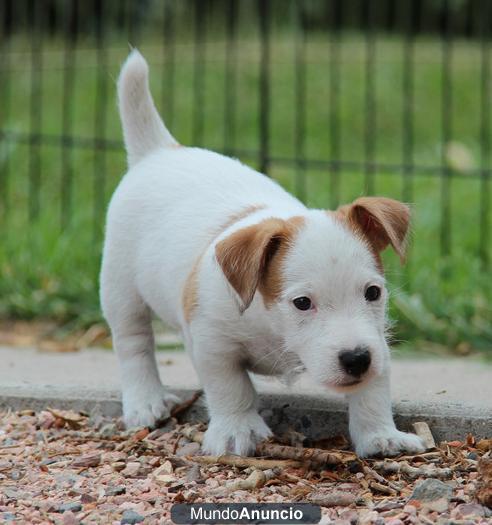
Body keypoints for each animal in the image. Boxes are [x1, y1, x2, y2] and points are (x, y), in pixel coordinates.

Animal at [100, 50, 422, 458]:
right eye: (302, 303)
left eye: (373, 293)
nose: (356, 360)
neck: (271, 325)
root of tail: (159, 150)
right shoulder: (214, 344)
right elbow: (230, 387)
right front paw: (237, 430)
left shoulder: (375, 339)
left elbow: (373, 391)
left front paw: (381, 435)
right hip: (120, 290)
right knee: (134, 343)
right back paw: (145, 401)